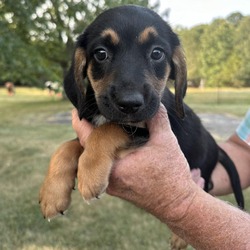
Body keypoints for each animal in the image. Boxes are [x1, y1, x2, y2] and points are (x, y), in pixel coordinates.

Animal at [39, 3, 244, 248]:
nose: (129, 103)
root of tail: (216, 146)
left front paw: (90, 169)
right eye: (101, 53)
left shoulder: (140, 130)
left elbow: (109, 129)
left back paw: (180, 236)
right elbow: (67, 146)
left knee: (205, 190)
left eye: (157, 53)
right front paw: (52, 193)